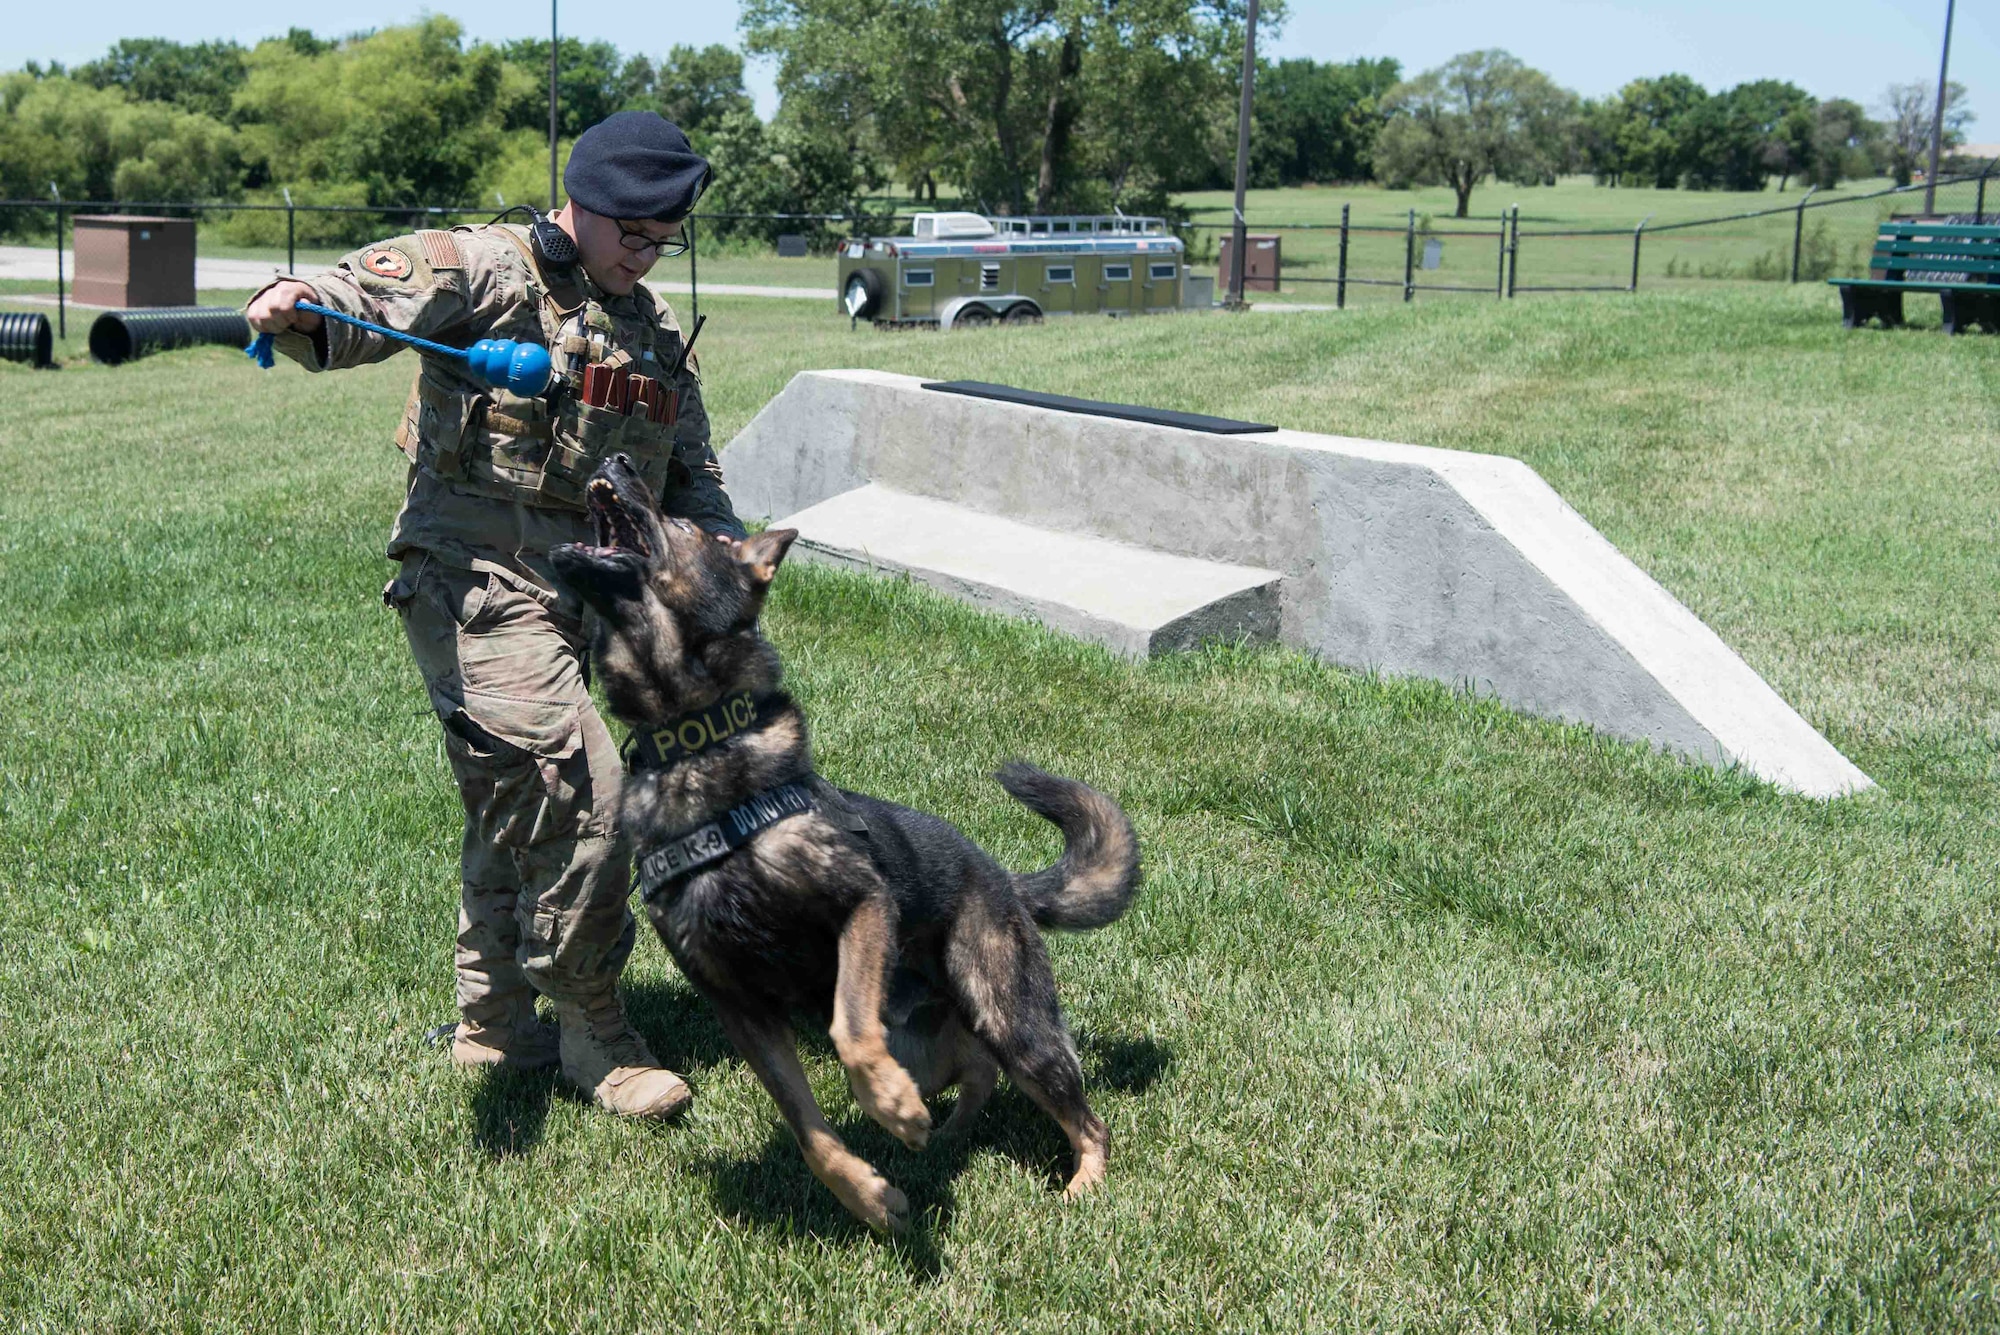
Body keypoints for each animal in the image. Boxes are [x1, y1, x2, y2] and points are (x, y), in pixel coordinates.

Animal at [552, 455, 1144, 1231]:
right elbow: (808, 1130)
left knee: (1082, 1113)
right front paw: (869, 1196)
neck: (696, 744)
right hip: (933, 1044)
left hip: (1009, 1016)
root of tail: (1006, 881)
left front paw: (890, 1108)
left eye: (680, 524)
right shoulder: (738, 1004)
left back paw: (1079, 1184)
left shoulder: (861, 907)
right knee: (976, 1073)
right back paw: (947, 1133)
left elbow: (847, 1027)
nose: (614, 459)